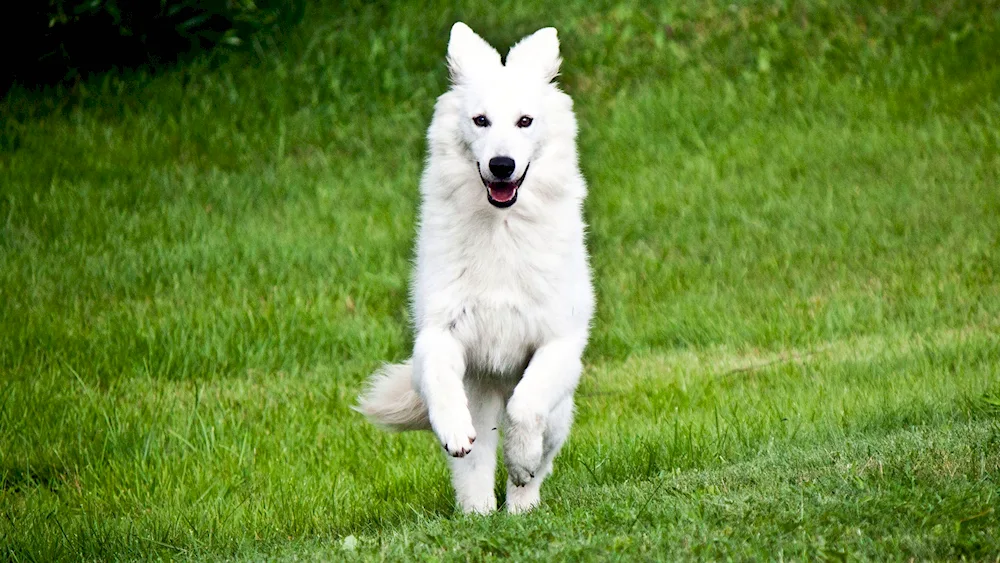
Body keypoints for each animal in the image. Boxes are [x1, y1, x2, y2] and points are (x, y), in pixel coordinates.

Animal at [358, 22, 592, 516]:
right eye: (480, 120)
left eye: (524, 121)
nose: (501, 166)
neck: (501, 230)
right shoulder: (439, 332)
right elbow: (438, 379)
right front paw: (452, 430)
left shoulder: (558, 344)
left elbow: (526, 408)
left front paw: (521, 459)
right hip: (480, 401)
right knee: (476, 466)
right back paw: (478, 515)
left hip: (559, 415)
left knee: (537, 458)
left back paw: (521, 505)